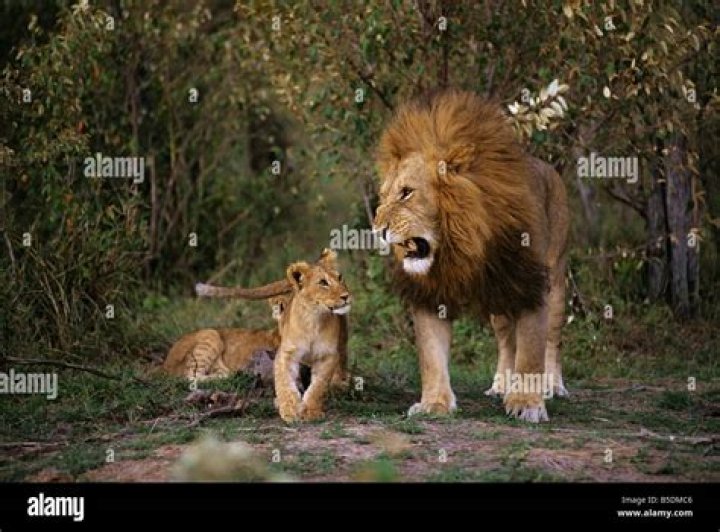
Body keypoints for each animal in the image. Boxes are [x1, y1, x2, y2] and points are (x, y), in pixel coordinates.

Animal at [195, 249, 351, 422]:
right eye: (323, 282)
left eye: (340, 277)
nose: (346, 296)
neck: (314, 319)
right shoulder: (286, 353)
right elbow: (284, 382)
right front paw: (289, 410)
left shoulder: (328, 356)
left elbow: (318, 386)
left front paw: (311, 411)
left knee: (342, 361)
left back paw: (340, 384)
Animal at [373, 88, 569, 423]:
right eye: (383, 197)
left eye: (407, 192)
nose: (377, 229)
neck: (461, 241)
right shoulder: (432, 292)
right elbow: (431, 355)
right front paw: (434, 403)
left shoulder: (530, 282)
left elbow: (532, 350)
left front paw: (527, 404)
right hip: (498, 302)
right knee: (506, 342)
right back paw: (501, 385)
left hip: (555, 281)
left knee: (552, 340)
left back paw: (553, 386)